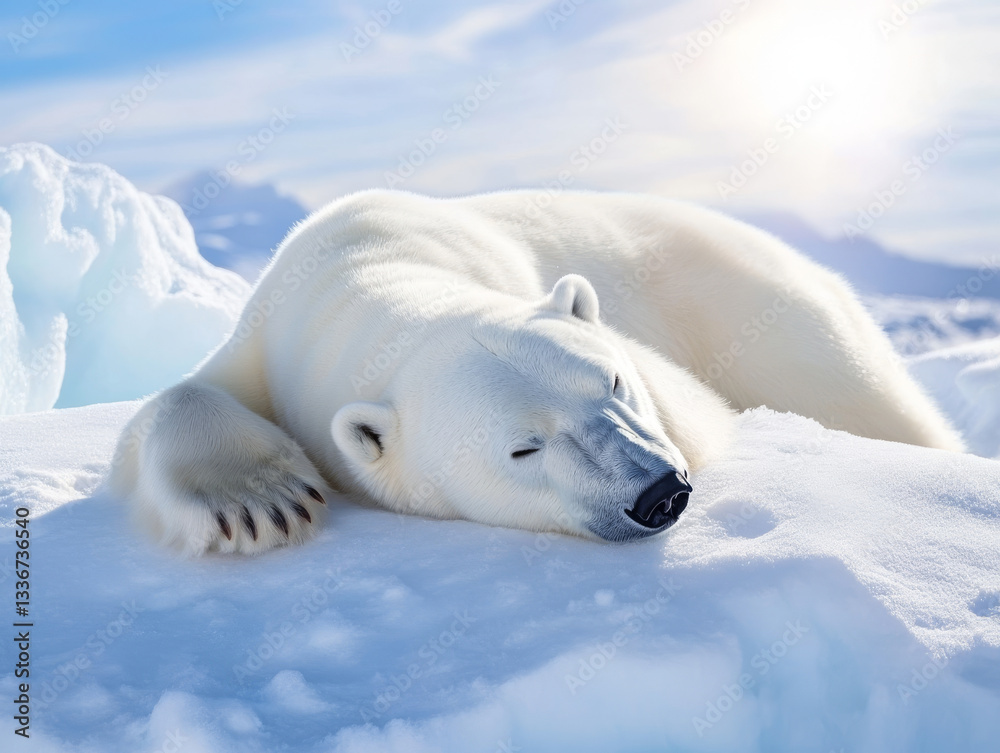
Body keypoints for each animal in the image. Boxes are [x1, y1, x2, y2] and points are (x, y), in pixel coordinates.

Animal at [109, 190, 964, 555]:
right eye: (523, 448)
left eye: (612, 382)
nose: (659, 491)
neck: (374, 269)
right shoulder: (266, 336)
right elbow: (167, 404)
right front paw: (261, 502)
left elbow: (700, 411)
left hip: (766, 309)